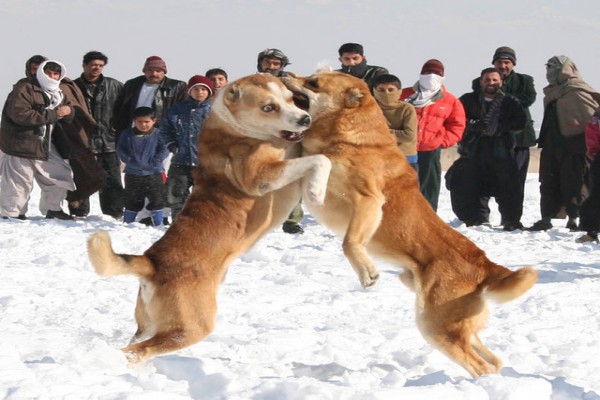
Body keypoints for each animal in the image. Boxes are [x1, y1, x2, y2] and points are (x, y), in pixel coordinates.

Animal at [88, 73, 330, 364]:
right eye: (268, 107)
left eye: (291, 99)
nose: (304, 119)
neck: (234, 128)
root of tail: (151, 262)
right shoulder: (260, 177)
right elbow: (321, 159)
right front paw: (317, 192)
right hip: (191, 327)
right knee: (136, 351)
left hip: (149, 323)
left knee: (136, 340)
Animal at [282, 72, 540, 378]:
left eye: (313, 83)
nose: (283, 74)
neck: (352, 138)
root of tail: (484, 265)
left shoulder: (369, 201)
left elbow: (349, 242)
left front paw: (368, 273)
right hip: (450, 321)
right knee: (490, 357)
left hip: (435, 325)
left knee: (480, 366)